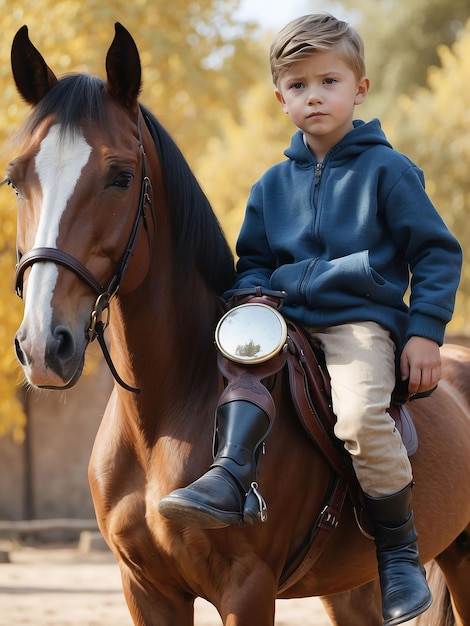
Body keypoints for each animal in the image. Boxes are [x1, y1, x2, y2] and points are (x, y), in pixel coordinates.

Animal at [6, 23, 470, 624]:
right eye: (15, 179)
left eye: (121, 176)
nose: (44, 344)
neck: (163, 415)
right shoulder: (145, 589)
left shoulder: (248, 589)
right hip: (356, 585)